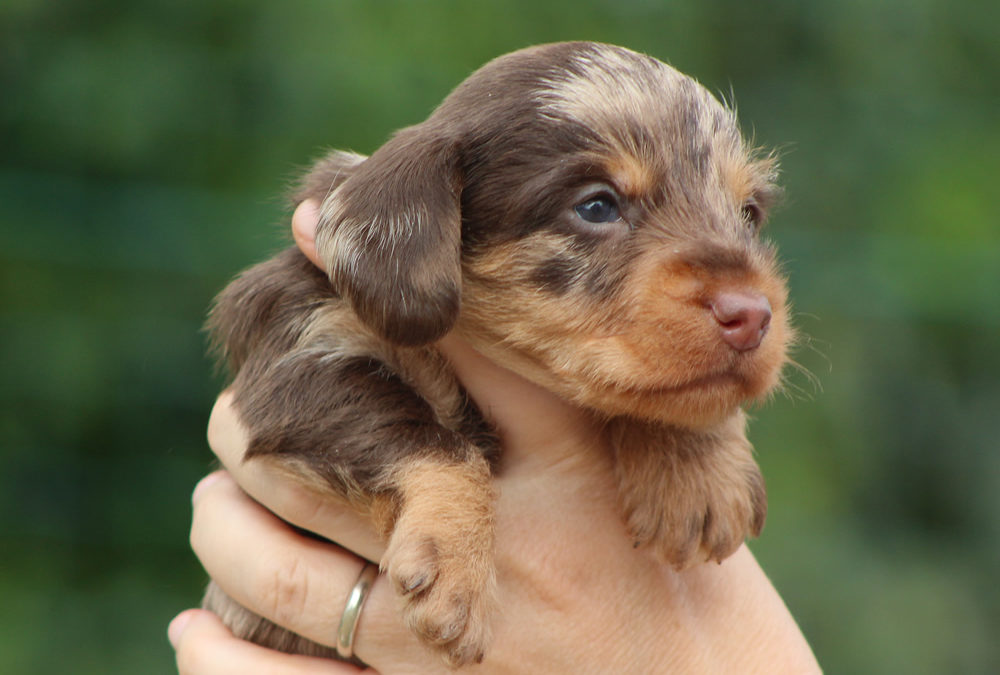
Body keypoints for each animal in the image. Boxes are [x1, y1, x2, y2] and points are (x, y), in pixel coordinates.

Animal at [203, 41, 792, 664]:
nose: (752, 316)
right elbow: (434, 441)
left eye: (749, 214)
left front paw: (695, 470)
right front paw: (456, 569)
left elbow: (674, 395)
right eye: (597, 206)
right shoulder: (298, 362)